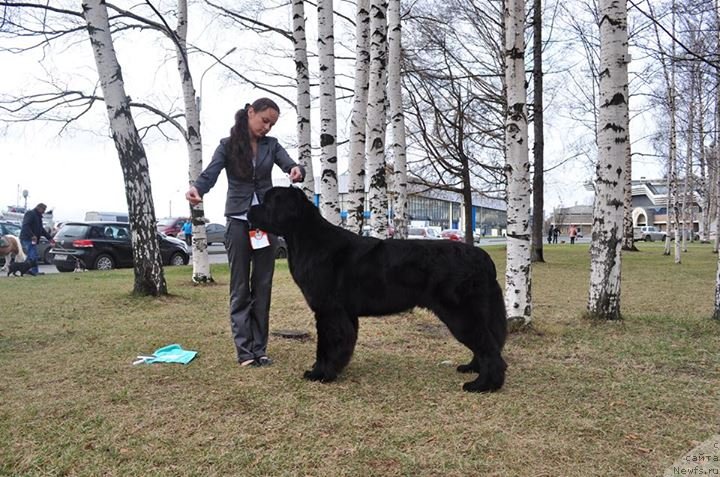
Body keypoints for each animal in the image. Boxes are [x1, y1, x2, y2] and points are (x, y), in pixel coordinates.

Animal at [248, 186, 506, 390]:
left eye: (269, 201)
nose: (249, 211)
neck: (307, 239)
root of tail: (483, 259)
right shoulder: (344, 313)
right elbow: (343, 343)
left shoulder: (328, 310)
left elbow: (326, 344)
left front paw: (319, 373)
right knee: (488, 342)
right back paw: (472, 368)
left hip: (459, 312)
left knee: (488, 347)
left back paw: (484, 385)